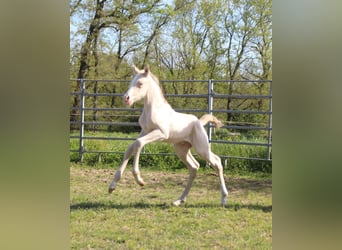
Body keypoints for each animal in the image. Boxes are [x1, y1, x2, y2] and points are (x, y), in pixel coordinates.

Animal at [108, 65, 228, 206]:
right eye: (131, 82)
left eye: (140, 84)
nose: (126, 98)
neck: (154, 110)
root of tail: (198, 121)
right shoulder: (144, 131)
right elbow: (130, 148)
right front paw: (112, 186)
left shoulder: (161, 133)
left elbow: (138, 143)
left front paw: (139, 180)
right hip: (181, 149)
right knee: (194, 167)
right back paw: (179, 200)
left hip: (202, 148)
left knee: (217, 162)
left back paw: (224, 198)